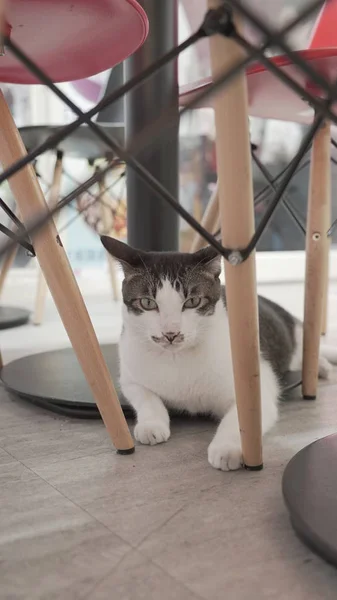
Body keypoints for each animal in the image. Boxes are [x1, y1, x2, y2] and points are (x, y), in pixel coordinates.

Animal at [100, 237, 336, 472]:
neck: (177, 358)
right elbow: (146, 396)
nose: (171, 333)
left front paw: (227, 449)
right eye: (147, 303)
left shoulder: (257, 388)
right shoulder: (129, 375)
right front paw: (151, 424)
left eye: (193, 301)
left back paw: (321, 367)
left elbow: (240, 420)